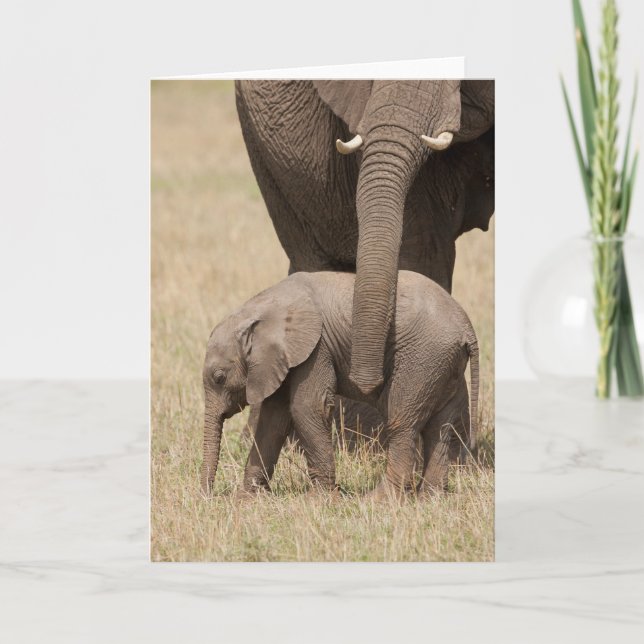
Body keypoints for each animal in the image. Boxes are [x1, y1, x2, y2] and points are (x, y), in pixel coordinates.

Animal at [201, 270, 479, 499]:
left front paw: (317, 500)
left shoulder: (316, 349)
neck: (259, 309)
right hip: (444, 366)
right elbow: (273, 419)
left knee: (402, 421)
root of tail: (467, 328)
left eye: (219, 378)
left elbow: (307, 408)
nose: (210, 497)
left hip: (423, 361)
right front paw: (247, 500)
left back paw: (379, 501)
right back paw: (430, 499)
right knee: (440, 427)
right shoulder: (281, 360)